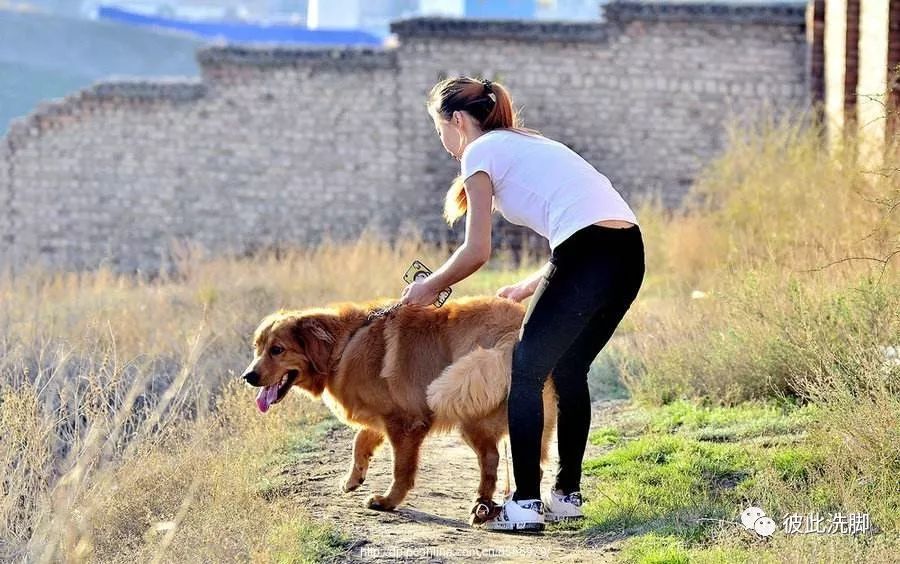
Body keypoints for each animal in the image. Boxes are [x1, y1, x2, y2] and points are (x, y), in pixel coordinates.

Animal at [239, 298, 556, 524]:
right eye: (258, 348)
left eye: (277, 350)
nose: (248, 376)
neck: (344, 346)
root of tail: (514, 328)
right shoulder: (383, 416)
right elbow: (360, 442)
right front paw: (354, 478)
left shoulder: (405, 422)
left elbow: (401, 469)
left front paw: (388, 501)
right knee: (529, 463)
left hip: (472, 415)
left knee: (490, 460)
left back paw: (483, 505)